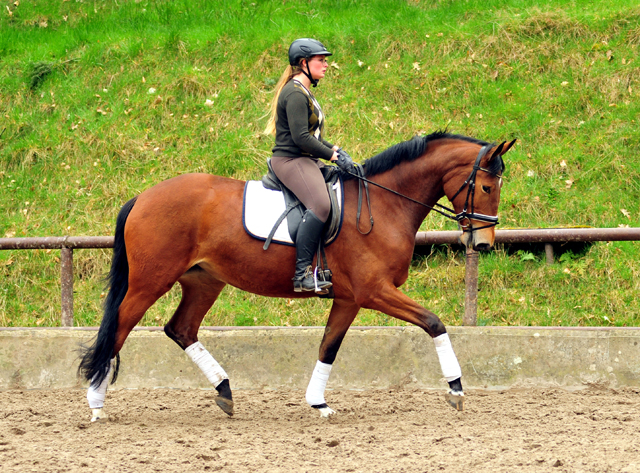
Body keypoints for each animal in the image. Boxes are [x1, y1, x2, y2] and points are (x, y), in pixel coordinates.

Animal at [77, 130, 516, 420]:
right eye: (487, 186)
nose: (484, 243)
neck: (384, 203)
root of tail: (142, 197)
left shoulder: (349, 298)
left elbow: (328, 348)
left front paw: (318, 402)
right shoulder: (374, 291)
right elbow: (434, 323)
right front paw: (456, 389)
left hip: (204, 281)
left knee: (181, 328)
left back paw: (225, 392)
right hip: (150, 282)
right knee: (119, 327)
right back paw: (96, 405)